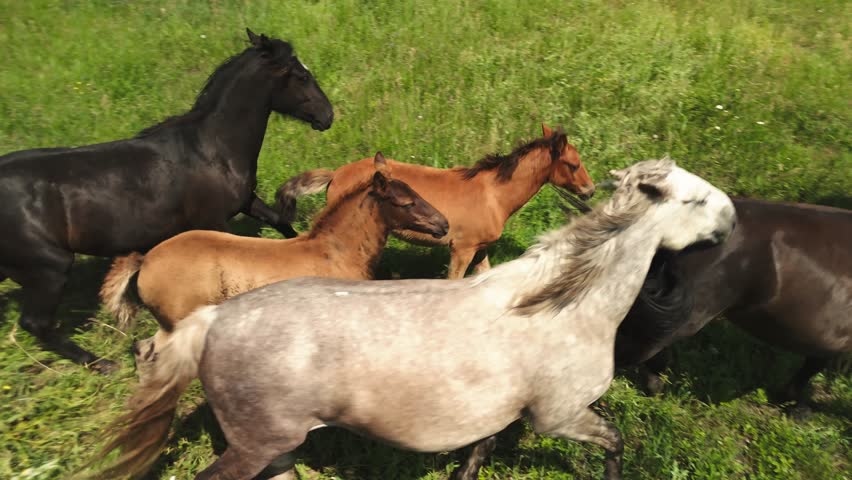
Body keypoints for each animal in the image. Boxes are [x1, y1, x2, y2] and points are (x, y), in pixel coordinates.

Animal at [0, 29, 333, 371]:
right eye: (300, 75)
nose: (327, 116)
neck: (212, 148)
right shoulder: (212, 220)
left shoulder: (244, 201)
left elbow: (281, 222)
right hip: (49, 267)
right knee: (35, 323)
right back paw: (103, 364)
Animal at [276, 123, 595, 279]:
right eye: (574, 164)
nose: (590, 191)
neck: (493, 195)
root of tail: (335, 174)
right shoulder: (461, 249)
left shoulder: (480, 249)